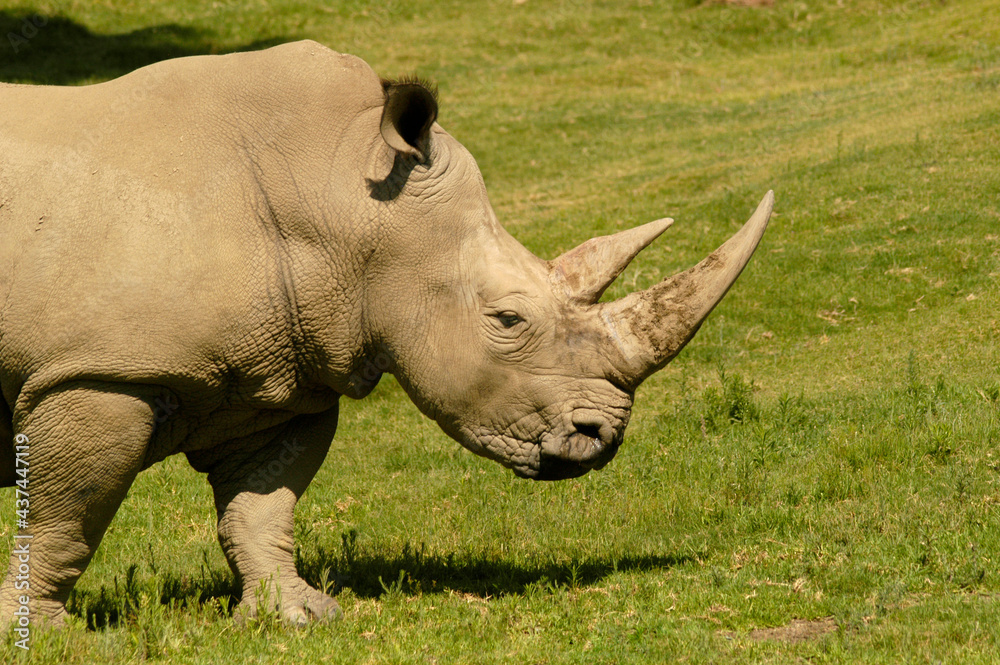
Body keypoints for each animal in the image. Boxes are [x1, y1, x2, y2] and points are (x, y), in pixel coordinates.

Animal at [0, 40, 772, 627]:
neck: (346, 194)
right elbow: (66, 513)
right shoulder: (97, 371)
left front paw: (296, 616)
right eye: (508, 319)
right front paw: (42, 632)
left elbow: (261, 505)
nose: (599, 439)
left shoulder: (284, 372)